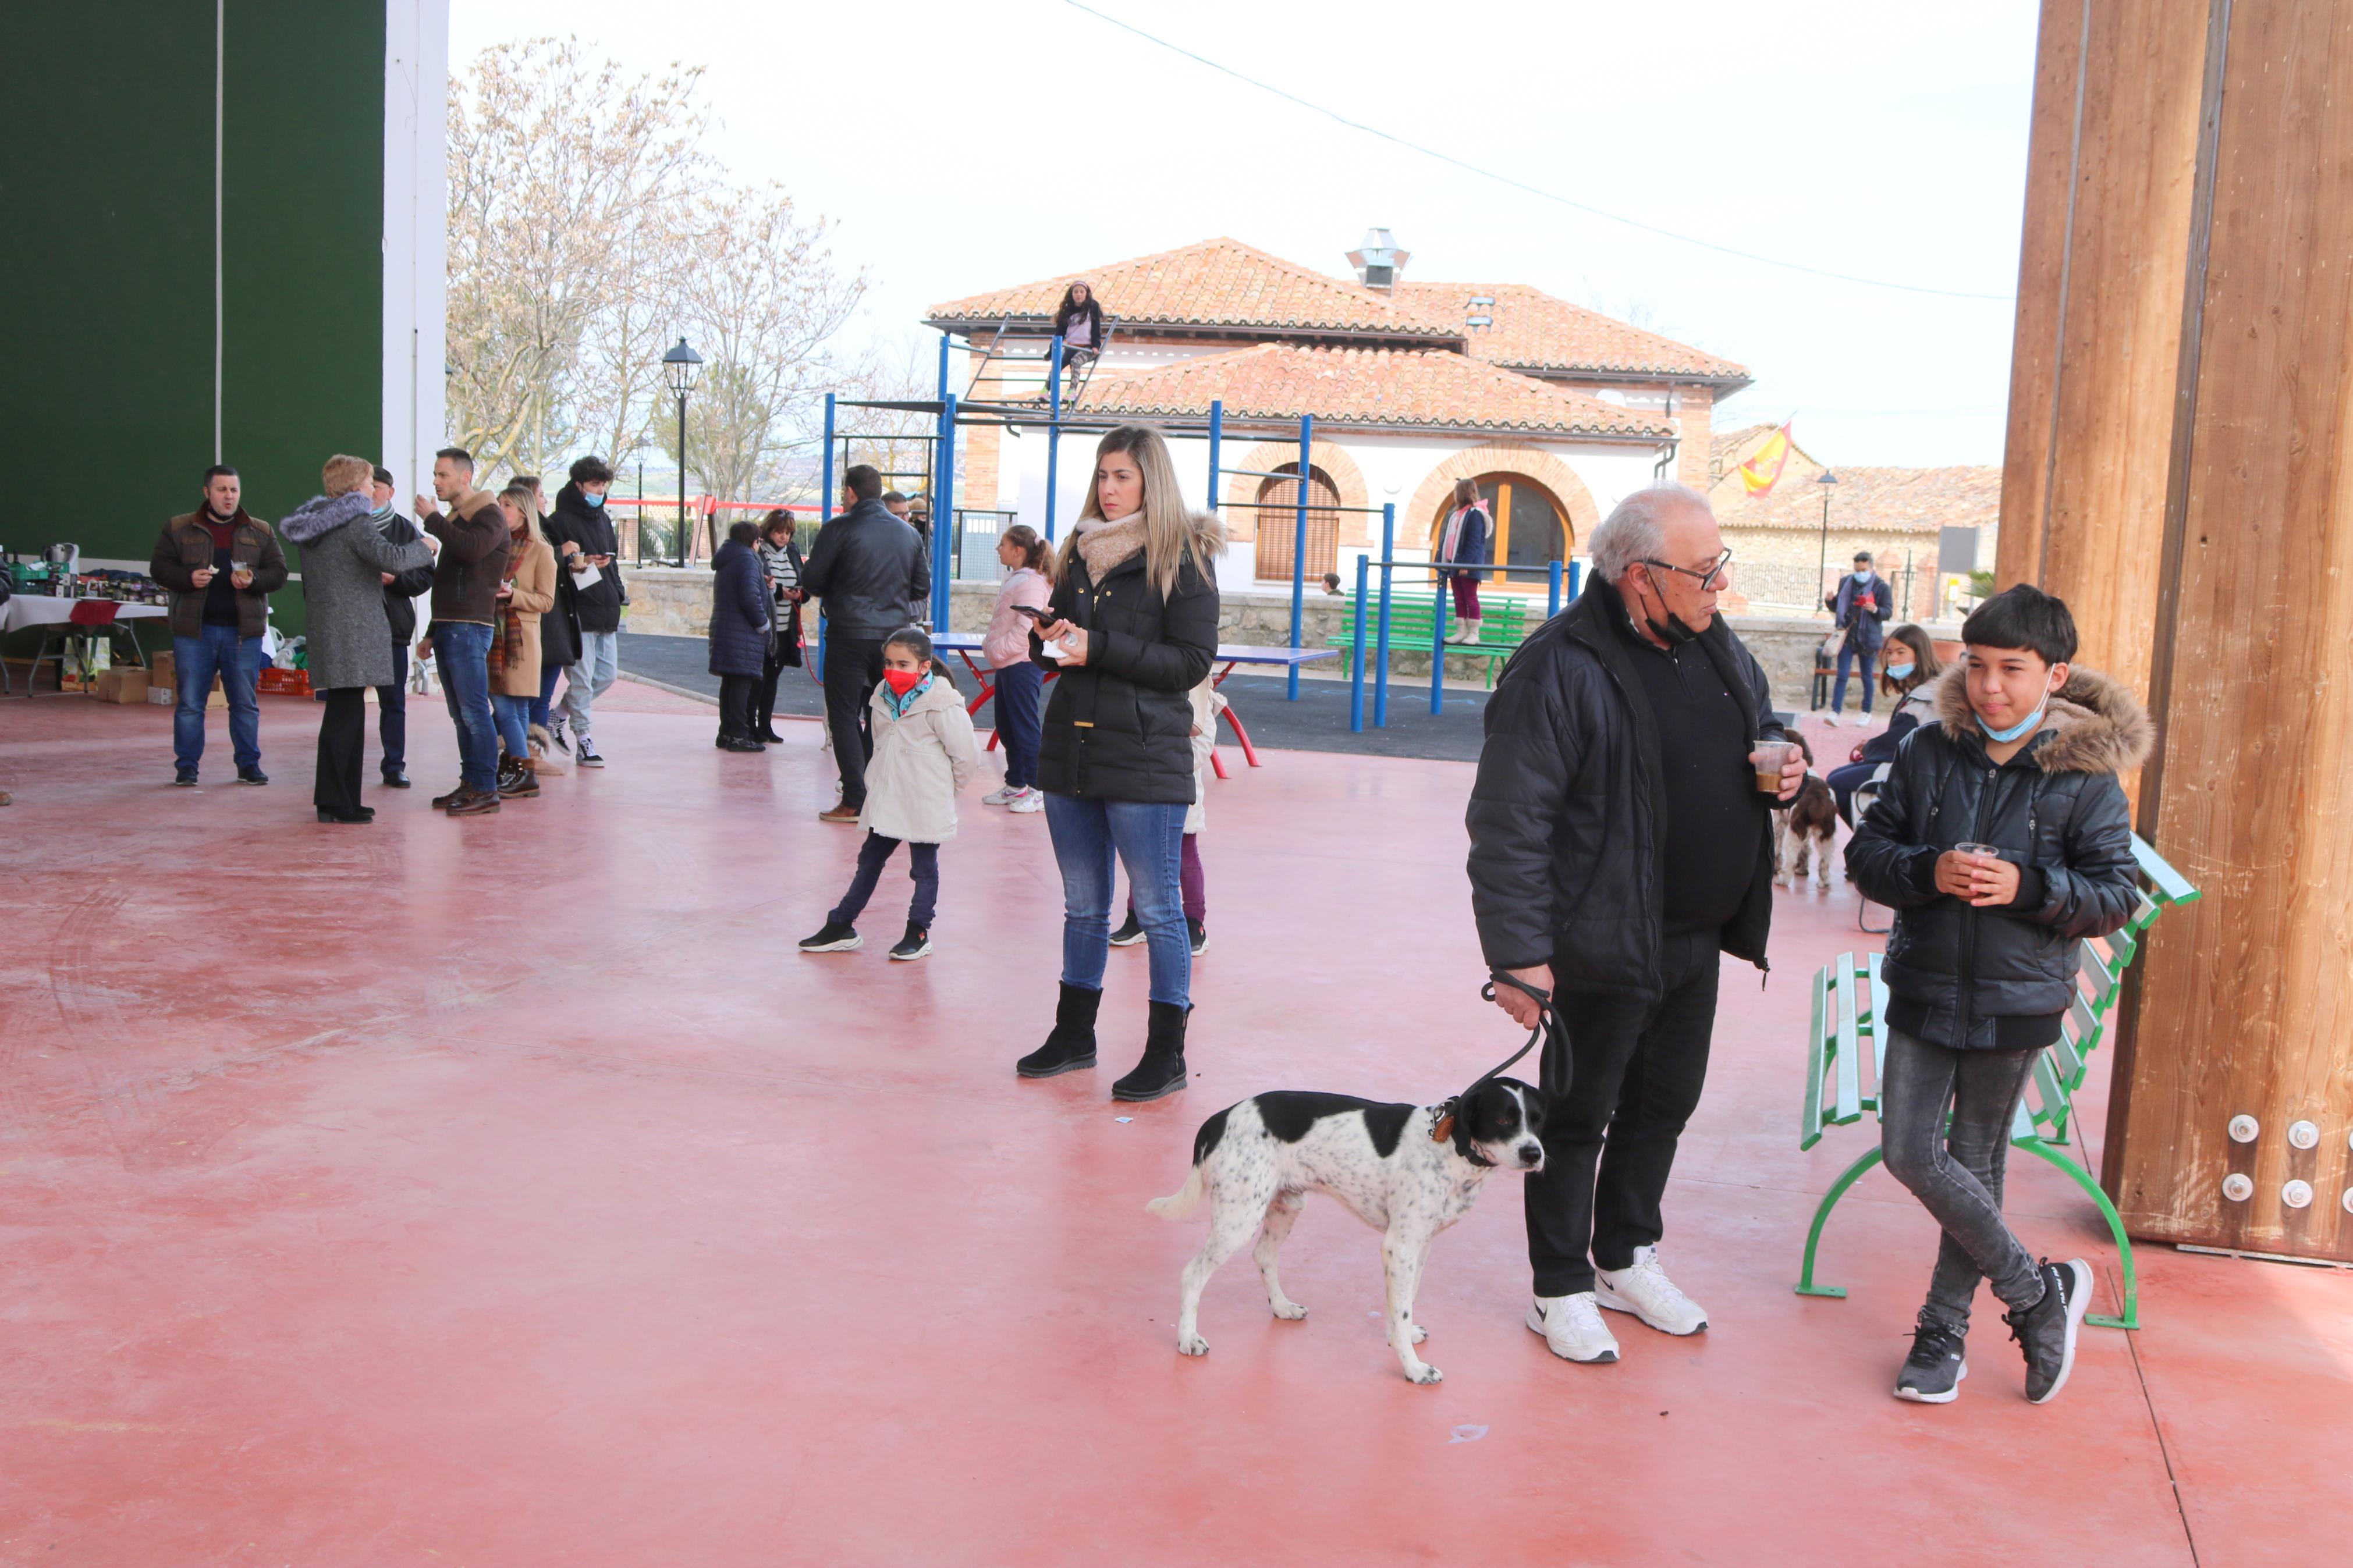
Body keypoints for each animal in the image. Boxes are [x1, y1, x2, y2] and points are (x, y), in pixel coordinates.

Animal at [1153, 1081, 1553, 1382]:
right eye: (1503, 1119)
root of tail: (1220, 1118)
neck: (1451, 1147)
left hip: (1286, 1205)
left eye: (1538, 1121)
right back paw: (1188, 1339)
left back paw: (1282, 1307)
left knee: (1263, 1255)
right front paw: (1413, 1368)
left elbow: (1405, 1302)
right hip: (1239, 1218)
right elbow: (1400, 1310)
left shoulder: (1419, 1246)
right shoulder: (1399, 1247)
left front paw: (1404, 1335)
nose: (1535, 1154)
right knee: (1192, 1274)